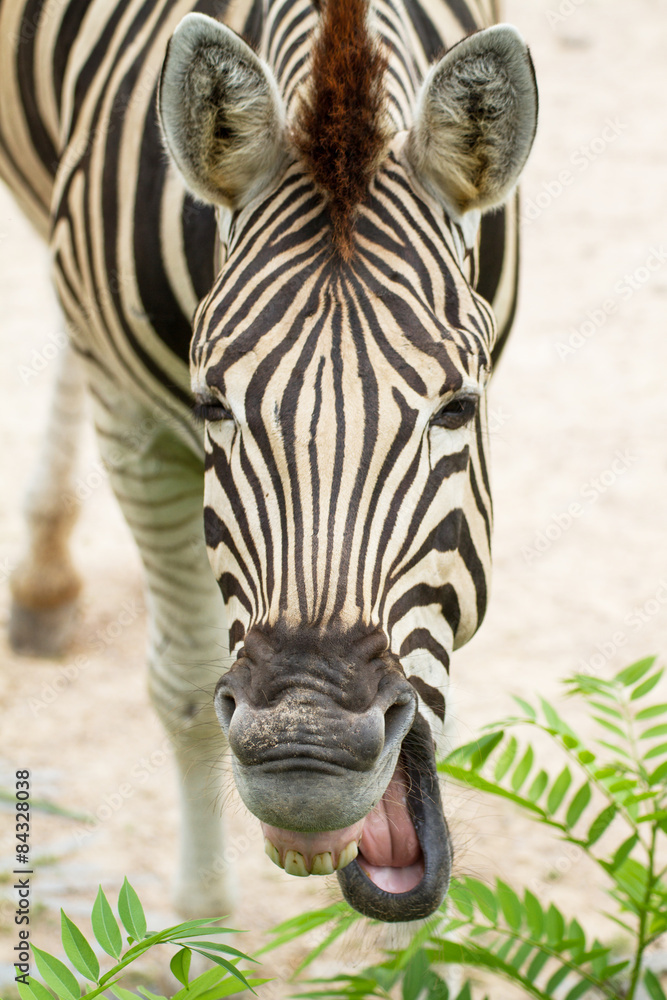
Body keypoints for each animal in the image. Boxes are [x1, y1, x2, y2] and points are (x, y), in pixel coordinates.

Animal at [0, 0, 537, 921]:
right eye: (213, 408)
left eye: (458, 408)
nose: (303, 763)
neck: (338, 72)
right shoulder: (137, 423)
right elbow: (182, 686)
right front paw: (197, 935)